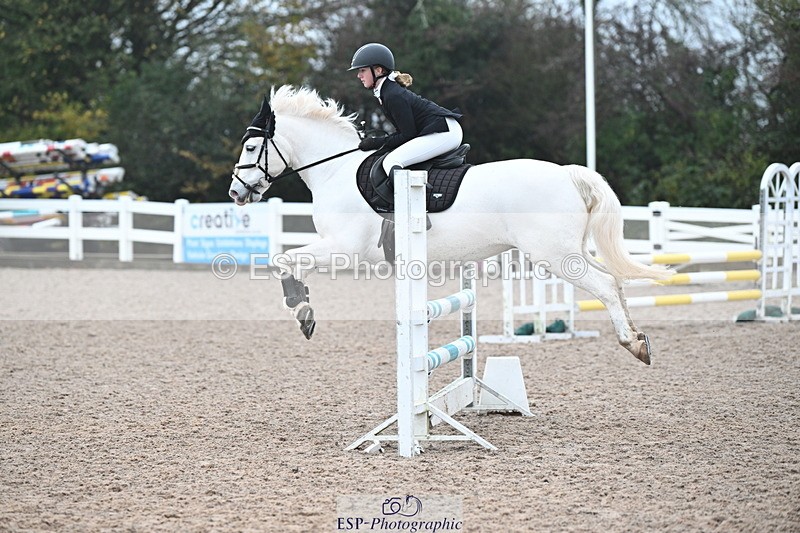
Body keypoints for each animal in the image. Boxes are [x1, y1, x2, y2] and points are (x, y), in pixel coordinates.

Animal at [228, 85, 673, 365]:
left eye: (250, 147)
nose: (236, 192)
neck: (335, 171)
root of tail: (567, 174)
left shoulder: (344, 248)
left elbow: (283, 259)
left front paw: (301, 310)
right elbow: (287, 261)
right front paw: (302, 305)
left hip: (555, 256)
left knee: (605, 286)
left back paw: (633, 344)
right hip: (570, 251)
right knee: (614, 282)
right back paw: (639, 338)